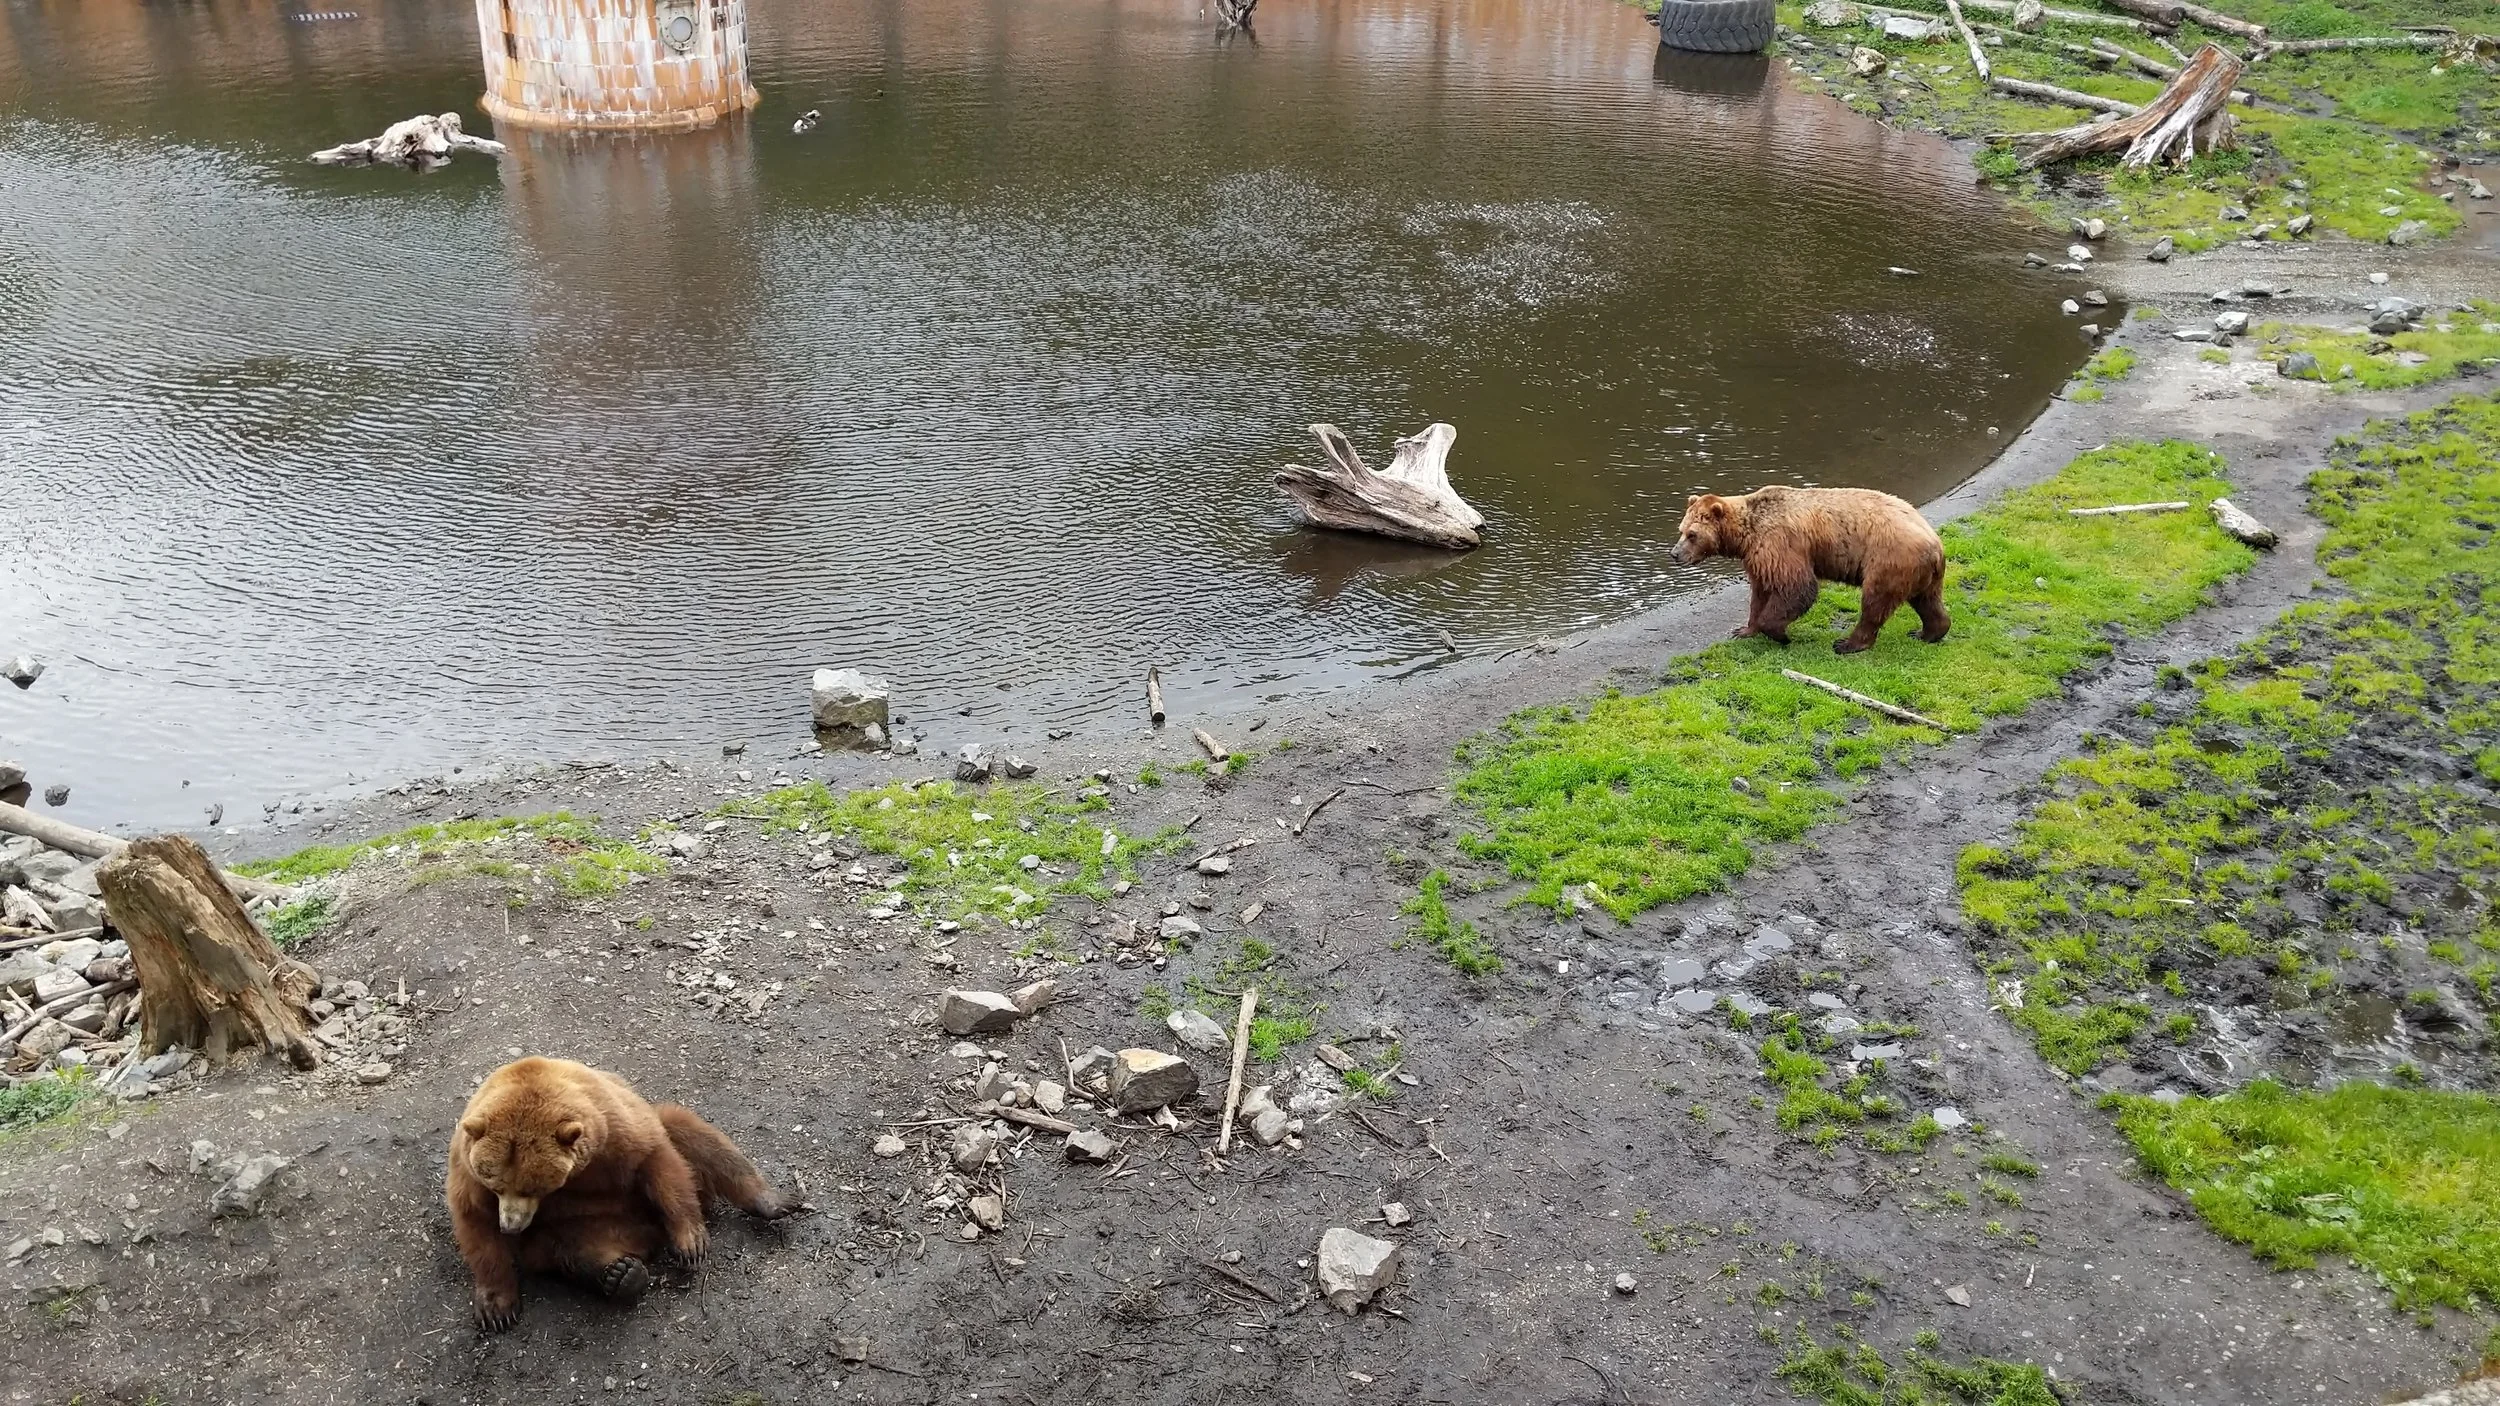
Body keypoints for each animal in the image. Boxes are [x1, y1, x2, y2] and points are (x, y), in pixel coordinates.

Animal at [446, 1056, 795, 1331]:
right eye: (495, 1185)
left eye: (533, 1187)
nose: (511, 1226)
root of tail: (645, 1236)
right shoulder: (468, 1168)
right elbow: (476, 1223)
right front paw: (496, 1308)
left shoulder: (614, 1129)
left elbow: (659, 1161)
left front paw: (691, 1243)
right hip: (577, 1228)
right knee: (572, 1250)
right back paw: (621, 1274)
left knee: (697, 1136)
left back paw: (774, 1201)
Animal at [1670, 485, 1950, 654]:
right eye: (1681, 530)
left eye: (1692, 534)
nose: (1674, 554)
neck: (1745, 534)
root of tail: (1934, 542)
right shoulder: (1759, 558)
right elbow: (1759, 593)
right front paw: (1744, 630)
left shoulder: (1780, 543)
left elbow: (1797, 587)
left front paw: (1780, 635)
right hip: (1921, 573)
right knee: (1927, 600)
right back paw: (1928, 632)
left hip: (1887, 559)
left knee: (1874, 603)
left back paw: (1847, 644)